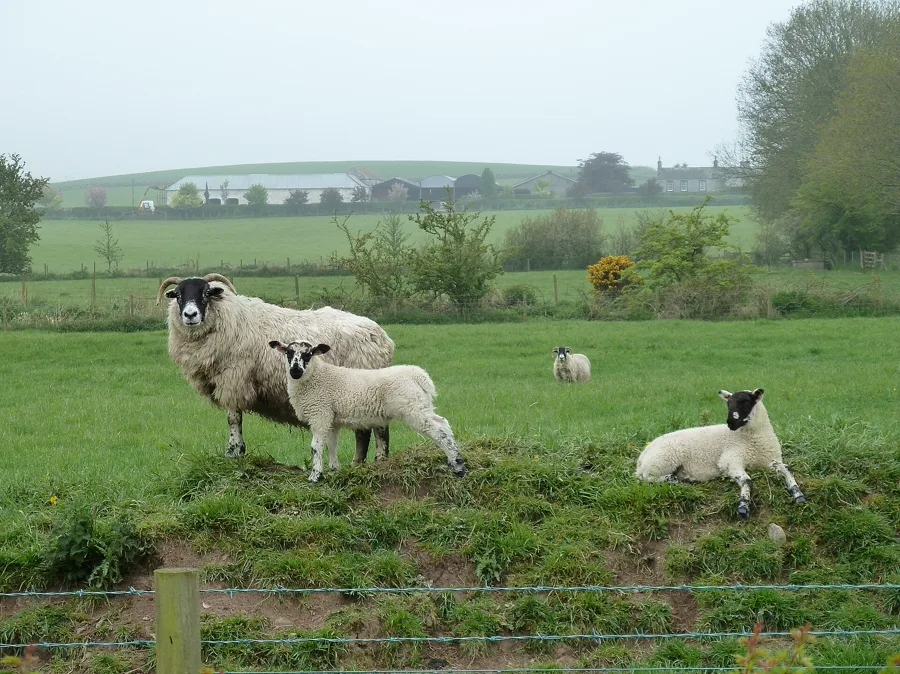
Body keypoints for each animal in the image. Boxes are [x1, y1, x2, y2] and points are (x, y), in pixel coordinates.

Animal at [156, 274, 395, 464]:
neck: (229, 318)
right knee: (363, 432)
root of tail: (382, 338)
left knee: (379, 430)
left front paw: (234, 451)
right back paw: (358, 465)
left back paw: (379, 462)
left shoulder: (233, 379)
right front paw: (237, 451)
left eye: (205, 293)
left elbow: (233, 419)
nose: (190, 315)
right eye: (178, 295)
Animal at [268, 339, 468, 483]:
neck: (316, 377)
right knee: (443, 423)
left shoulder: (320, 414)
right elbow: (332, 445)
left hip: (412, 408)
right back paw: (456, 459)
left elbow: (316, 447)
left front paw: (315, 476)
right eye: (288, 352)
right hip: (421, 405)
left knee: (437, 430)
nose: (295, 371)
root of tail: (419, 376)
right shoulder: (331, 418)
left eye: (308, 354)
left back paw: (458, 467)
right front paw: (334, 470)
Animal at [635, 388, 807, 519]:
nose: (730, 422)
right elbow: (747, 481)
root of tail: (641, 458)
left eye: (745, 402)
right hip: (661, 461)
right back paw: (673, 479)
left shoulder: (771, 461)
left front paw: (799, 495)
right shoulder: (729, 459)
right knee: (648, 478)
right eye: (728, 404)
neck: (752, 440)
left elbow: (788, 470)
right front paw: (743, 506)